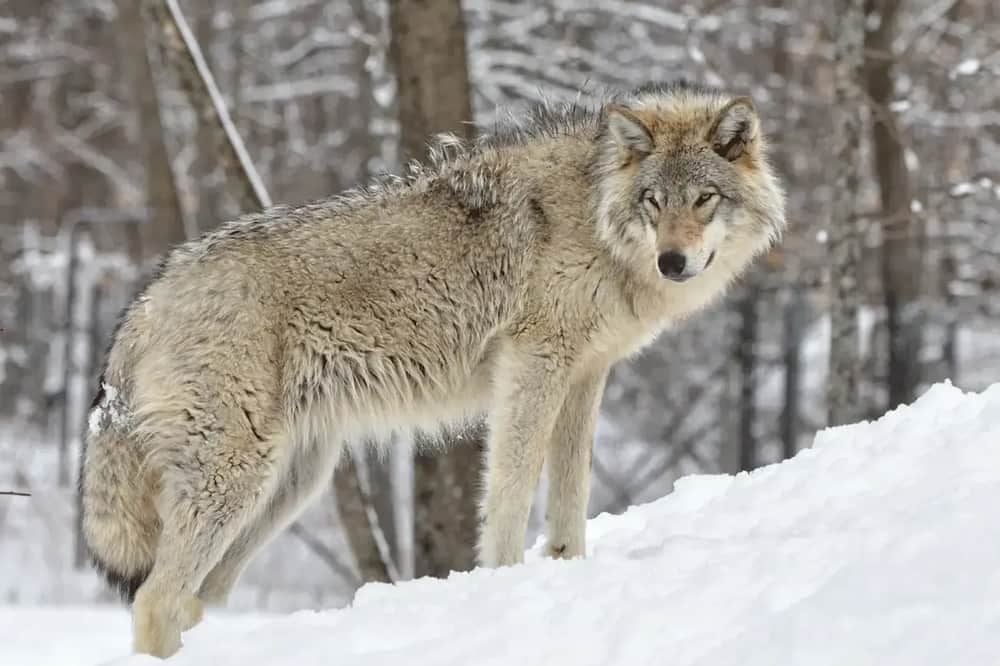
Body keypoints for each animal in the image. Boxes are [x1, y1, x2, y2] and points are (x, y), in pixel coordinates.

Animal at [80, 80, 784, 657]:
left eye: (704, 198)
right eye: (653, 201)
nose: (673, 262)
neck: (594, 216)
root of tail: (147, 298)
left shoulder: (585, 377)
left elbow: (570, 498)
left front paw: (566, 568)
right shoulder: (533, 366)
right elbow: (509, 496)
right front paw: (506, 586)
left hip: (290, 484)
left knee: (193, 599)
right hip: (236, 480)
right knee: (155, 600)